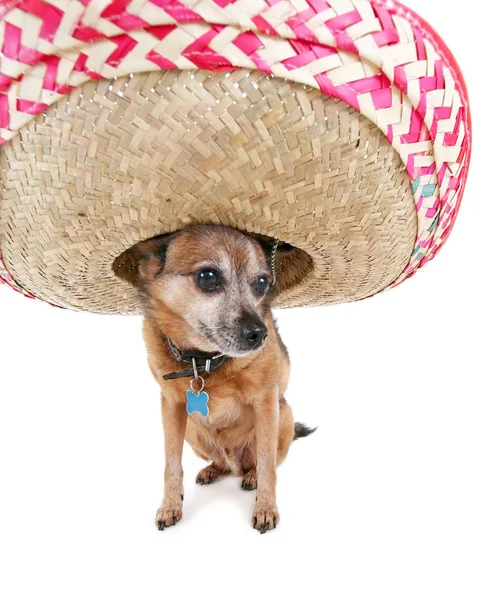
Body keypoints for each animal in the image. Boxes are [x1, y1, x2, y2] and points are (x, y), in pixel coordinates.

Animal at [114, 225, 316, 536]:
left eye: (262, 283)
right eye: (208, 277)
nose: (259, 333)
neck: (203, 362)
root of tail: (235, 463)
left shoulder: (266, 401)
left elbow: (267, 462)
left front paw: (265, 508)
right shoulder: (171, 406)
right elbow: (171, 464)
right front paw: (170, 506)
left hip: (284, 415)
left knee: (260, 462)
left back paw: (251, 476)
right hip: (192, 430)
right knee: (222, 462)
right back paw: (212, 469)